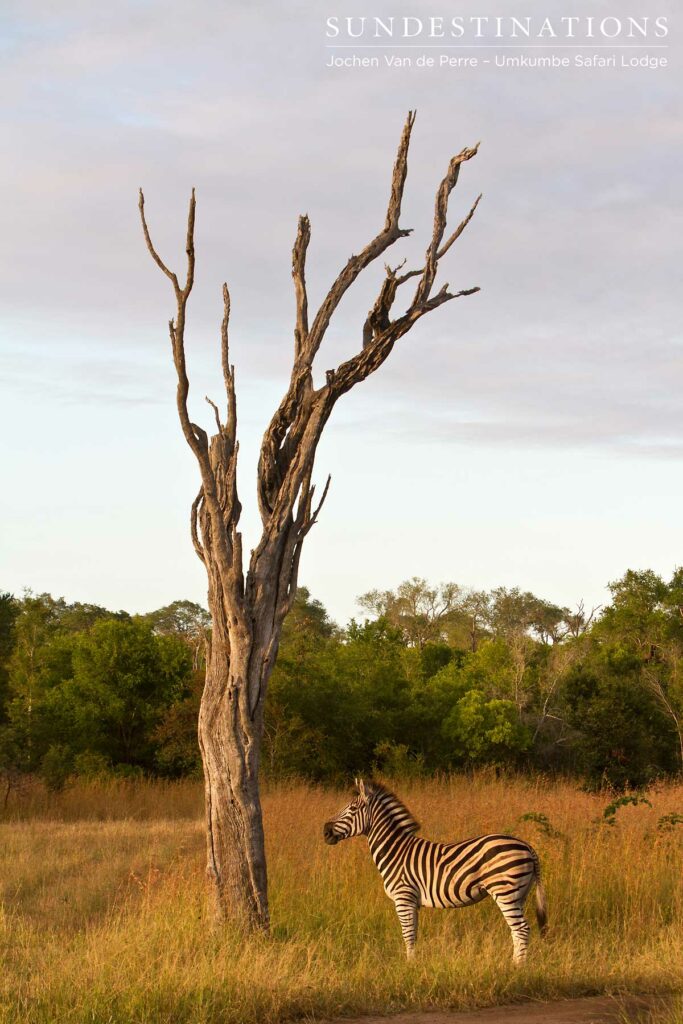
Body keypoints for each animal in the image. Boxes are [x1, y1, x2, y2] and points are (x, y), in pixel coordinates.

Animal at [323, 778, 548, 962]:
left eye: (352, 809)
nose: (325, 831)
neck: (396, 851)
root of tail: (527, 846)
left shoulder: (403, 897)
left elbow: (408, 935)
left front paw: (409, 966)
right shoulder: (412, 902)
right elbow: (414, 934)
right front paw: (414, 964)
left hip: (505, 891)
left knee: (522, 930)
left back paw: (516, 968)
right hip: (519, 894)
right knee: (517, 931)